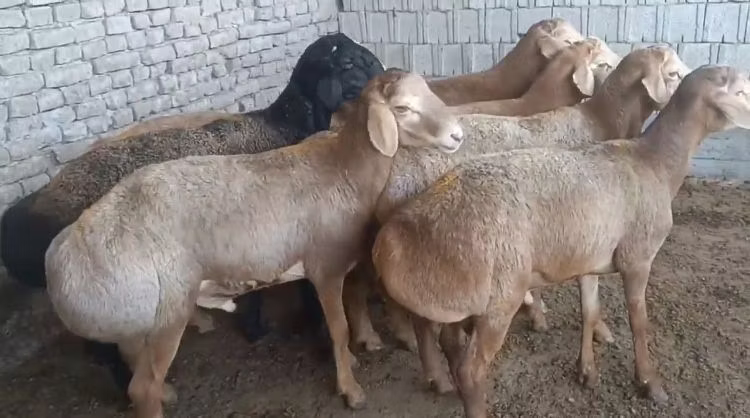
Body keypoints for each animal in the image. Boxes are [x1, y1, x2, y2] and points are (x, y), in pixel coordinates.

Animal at [45, 69, 464, 418]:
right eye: (403, 108)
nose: (457, 135)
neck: (346, 170)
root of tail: (63, 254)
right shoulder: (325, 267)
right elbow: (339, 329)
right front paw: (351, 390)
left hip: (139, 320)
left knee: (135, 367)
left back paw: (168, 393)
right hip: (169, 312)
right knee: (141, 388)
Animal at [371, 64, 749, 418]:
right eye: (742, 90)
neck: (658, 163)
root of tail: (395, 234)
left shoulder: (590, 259)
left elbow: (589, 311)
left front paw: (587, 371)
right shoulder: (637, 257)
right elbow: (639, 321)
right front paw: (649, 383)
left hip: (460, 293)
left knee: (449, 341)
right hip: (500, 295)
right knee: (470, 368)